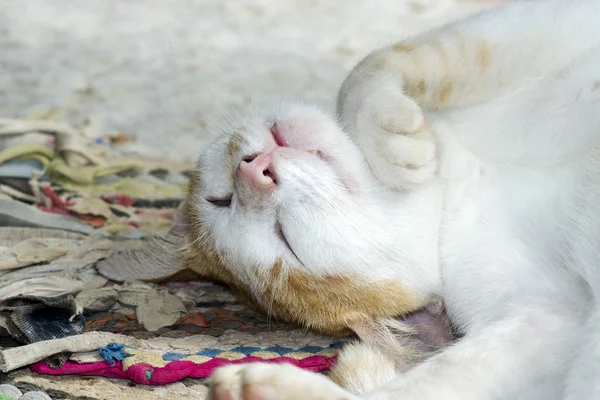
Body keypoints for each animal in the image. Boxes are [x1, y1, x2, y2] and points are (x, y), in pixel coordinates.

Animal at [180, 0, 600, 398]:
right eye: (286, 240)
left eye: (221, 198)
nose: (253, 172)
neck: (470, 173)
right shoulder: (550, 315)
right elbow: (442, 376)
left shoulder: (543, 20)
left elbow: (372, 65)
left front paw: (385, 135)